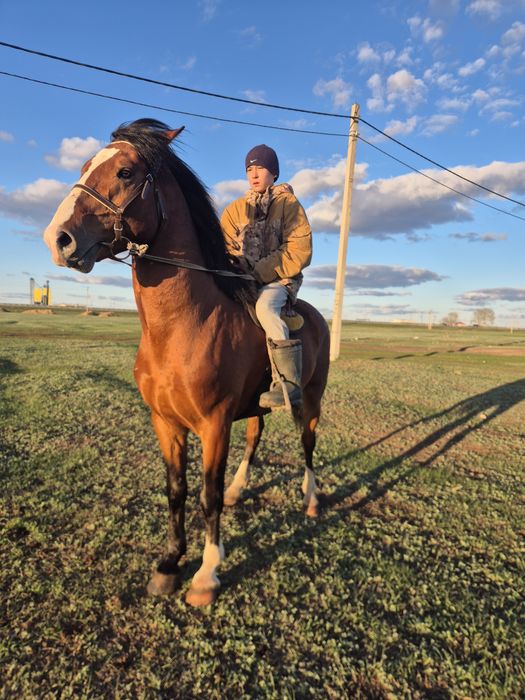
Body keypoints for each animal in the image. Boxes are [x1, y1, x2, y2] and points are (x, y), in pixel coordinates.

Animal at [44, 118, 330, 606]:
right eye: (83, 167)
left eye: (124, 172)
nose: (57, 239)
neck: (183, 326)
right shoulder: (165, 422)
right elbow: (176, 491)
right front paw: (169, 563)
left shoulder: (214, 425)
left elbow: (206, 495)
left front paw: (206, 575)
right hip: (253, 407)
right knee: (255, 436)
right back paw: (239, 489)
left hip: (309, 399)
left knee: (307, 444)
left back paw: (310, 499)